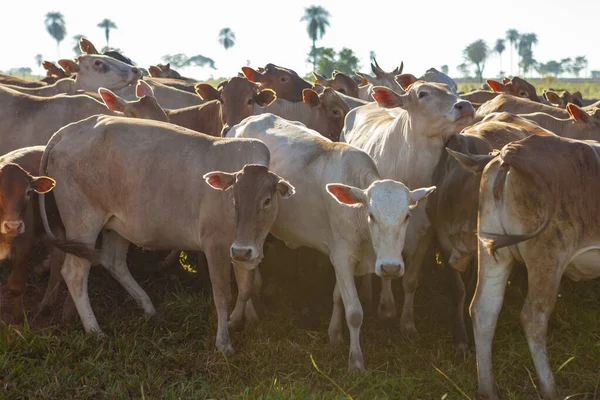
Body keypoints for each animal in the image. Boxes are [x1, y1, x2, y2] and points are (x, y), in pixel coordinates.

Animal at [38, 115, 292, 356]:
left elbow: (246, 288)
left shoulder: (243, 250)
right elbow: (223, 294)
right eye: (234, 199)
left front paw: (240, 319)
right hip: (83, 223)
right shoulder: (216, 246)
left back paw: (148, 307)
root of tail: (70, 129)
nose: (243, 249)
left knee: (113, 262)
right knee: (75, 273)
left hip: (117, 225)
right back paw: (95, 330)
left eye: (266, 201)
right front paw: (223, 342)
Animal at [227, 111, 434, 370]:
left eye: (406, 216)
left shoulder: (340, 258)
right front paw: (356, 361)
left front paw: (335, 334)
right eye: (371, 215)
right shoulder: (343, 257)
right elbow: (354, 312)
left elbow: (338, 297)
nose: (390, 267)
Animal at [342, 82, 474, 346]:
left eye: (454, 89)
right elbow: (384, 272)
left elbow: (410, 280)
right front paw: (386, 308)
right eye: (422, 94)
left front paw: (407, 322)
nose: (465, 105)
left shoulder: (427, 232)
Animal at [466, 134, 600, 400]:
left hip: (492, 250)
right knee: (533, 317)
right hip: (548, 254)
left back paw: (487, 389)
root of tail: (510, 152)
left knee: (484, 309)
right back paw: (550, 389)